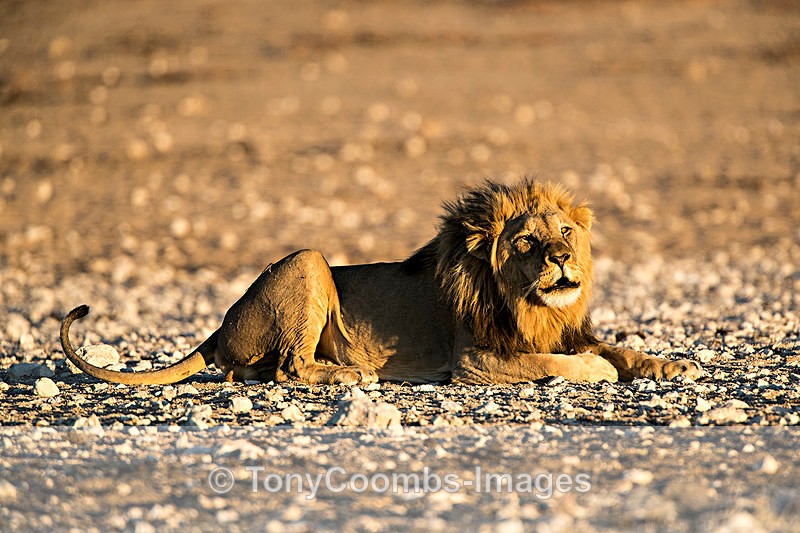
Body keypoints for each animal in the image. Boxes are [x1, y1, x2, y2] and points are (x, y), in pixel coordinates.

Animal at [60, 178, 703, 386]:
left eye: (565, 230)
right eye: (525, 242)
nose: (563, 257)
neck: (535, 305)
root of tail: (221, 325)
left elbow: (618, 347)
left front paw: (671, 363)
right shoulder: (475, 359)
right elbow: (555, 362)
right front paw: (595, 369)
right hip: (309, 260)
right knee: (289, 368)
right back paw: (349, 374)